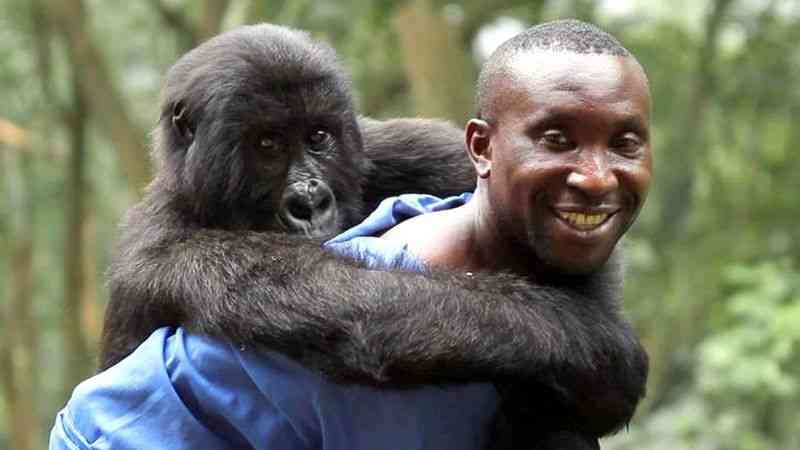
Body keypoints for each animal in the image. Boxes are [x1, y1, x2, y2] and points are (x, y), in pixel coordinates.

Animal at [92, 23, 644, 446]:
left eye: (318, 137)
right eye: (267, 145)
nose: (310, 202)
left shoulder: (382, 146)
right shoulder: (164, 247)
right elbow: (353, 303)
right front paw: (588, 346)